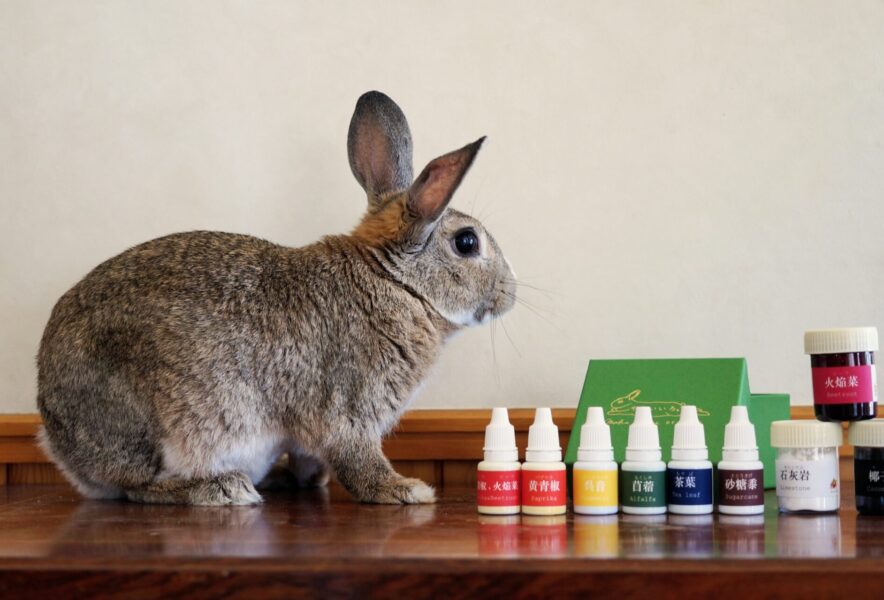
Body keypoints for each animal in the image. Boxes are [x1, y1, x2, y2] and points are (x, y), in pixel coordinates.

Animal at [36, 91, 516, 506]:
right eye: (467, 242)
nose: (510, 293)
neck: (396, 283)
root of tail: (59, 442)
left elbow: (310, 457)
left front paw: (315, 479)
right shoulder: (350, 407)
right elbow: (358, 458)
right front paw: (404, 490)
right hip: (148, 423)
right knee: (138, 487)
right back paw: (223, 489)